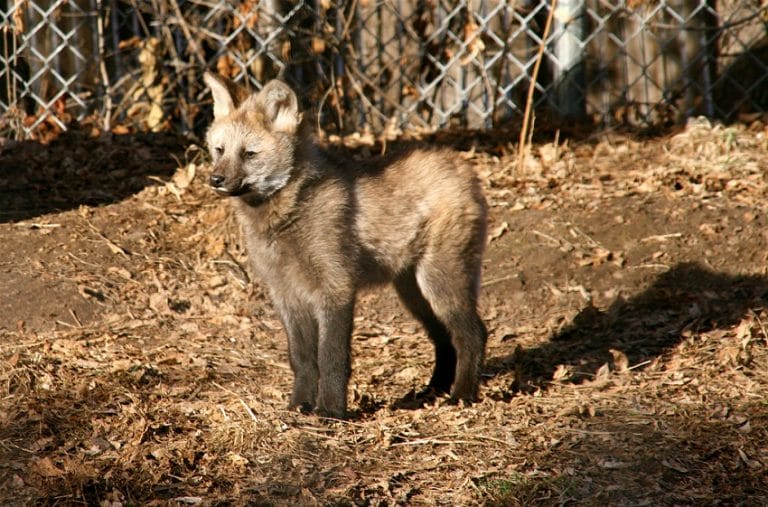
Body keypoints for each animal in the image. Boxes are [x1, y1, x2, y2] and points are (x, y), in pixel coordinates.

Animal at [203, 72, 488, 418]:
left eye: (249, 154)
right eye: (219, 150)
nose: (215, 179)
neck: (288, 215)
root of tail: (459, 163)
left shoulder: (336, 287)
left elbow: (332, 357)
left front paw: (329, 411)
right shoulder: (286, 294)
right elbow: (302, 360)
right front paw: (299, 405)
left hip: (438, 282)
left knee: (473, 334)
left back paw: (461, 395)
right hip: (414, 293)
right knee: (444, 340)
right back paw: (430, 392)